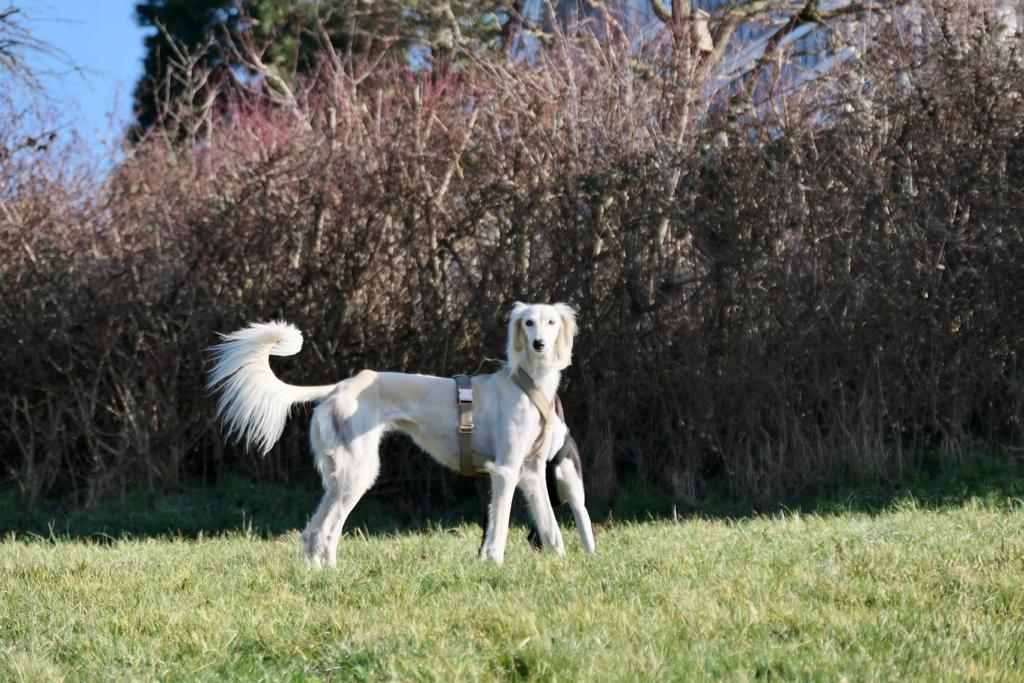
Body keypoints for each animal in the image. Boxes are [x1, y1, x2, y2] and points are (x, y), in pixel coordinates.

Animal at [205, 303, 593, 565]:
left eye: (551, 322)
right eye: (528, 322)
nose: (539, 344)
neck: (528, 384)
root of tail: (339, 387)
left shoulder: (532, 472)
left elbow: (551, 528)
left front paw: (561, 564)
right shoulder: (506, 470)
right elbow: (498, 527)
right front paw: (493, 563)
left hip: (340, 476)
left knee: (313, 532)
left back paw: (320, 574)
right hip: (359, 471)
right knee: (327, 530)